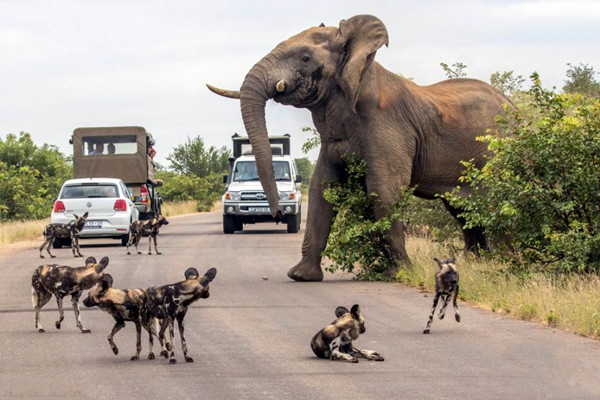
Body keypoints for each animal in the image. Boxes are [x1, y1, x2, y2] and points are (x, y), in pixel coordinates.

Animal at [210, 13, 510, 282]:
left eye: (305, 58)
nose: (277, 214)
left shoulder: (389, 127)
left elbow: (384, 191)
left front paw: (398, 274)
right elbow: (321, 190)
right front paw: (301, 276)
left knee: (494, 206)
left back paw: (506, 265)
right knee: (464, 212)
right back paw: (477, 266)